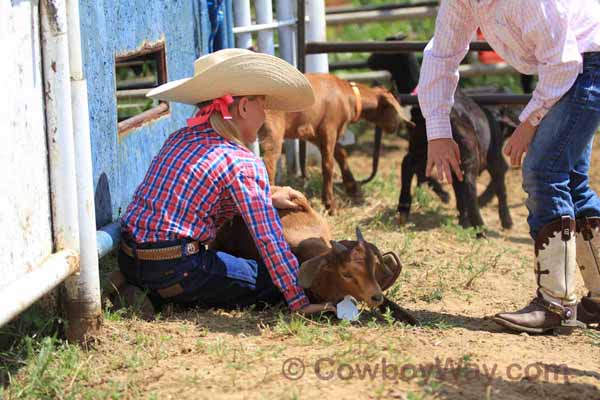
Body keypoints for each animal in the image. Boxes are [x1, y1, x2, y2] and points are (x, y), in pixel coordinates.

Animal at [258, 73, 412, 214]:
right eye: (394, 109)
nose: (395, 128)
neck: (348, 96)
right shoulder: (329, 129)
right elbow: (328, 164)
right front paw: (330, 204)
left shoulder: (315, 133)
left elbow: (341, 154)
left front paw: (352, 187)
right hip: (273, 131)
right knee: (268, 162)